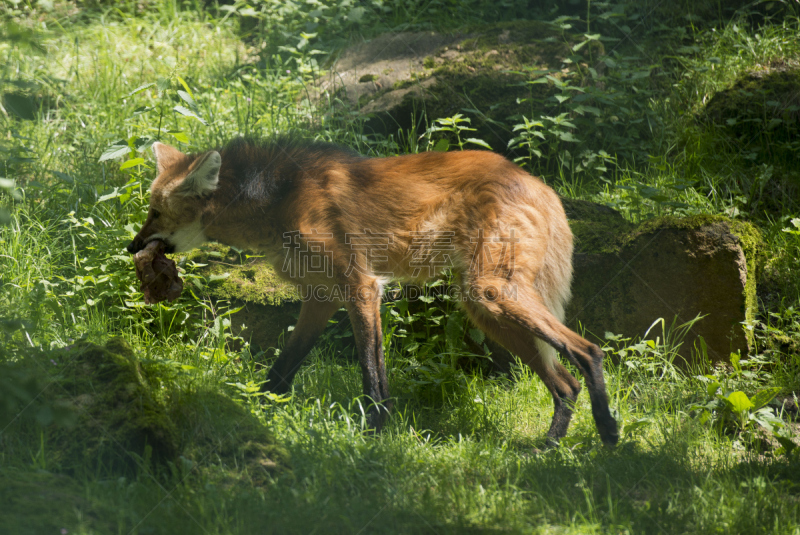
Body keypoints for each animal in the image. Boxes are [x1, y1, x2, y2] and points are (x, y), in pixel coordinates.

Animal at [128, 138, 620, 448]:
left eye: (155, 212)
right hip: (486, 308)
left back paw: (608, 433)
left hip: (491, 294)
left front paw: (376, 438)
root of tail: (540, 183)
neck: (276, 197)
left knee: (588, 351)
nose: (131, 247)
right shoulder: (321, 297)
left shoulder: (360, 287)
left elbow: (372, 374)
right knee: (565, 383)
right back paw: (549, 447)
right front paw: (256, 411)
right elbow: (283, 367)